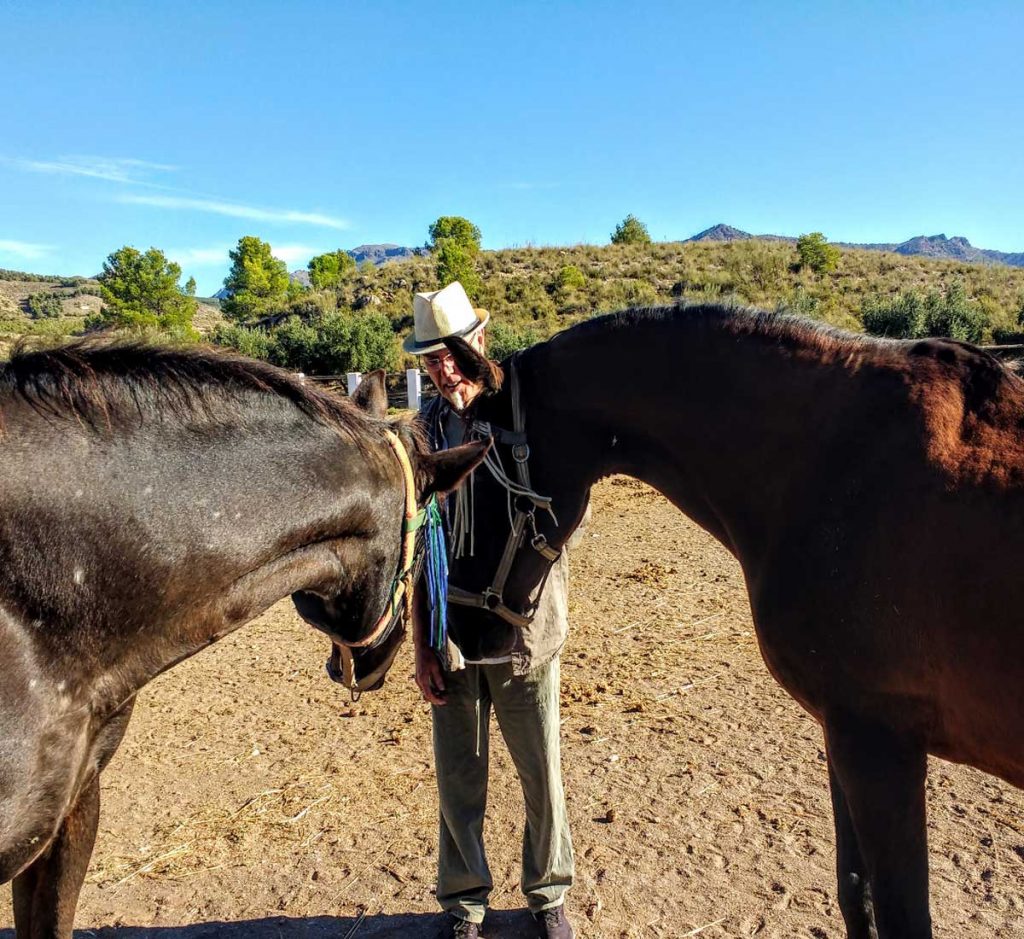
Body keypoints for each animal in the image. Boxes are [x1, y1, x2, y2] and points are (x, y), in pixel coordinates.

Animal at [434, 303, 1024, 937]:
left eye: (477, 483)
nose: (462, 632)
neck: (835, 467)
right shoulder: (843, 731)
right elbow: (854, 895)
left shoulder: (878, 744)